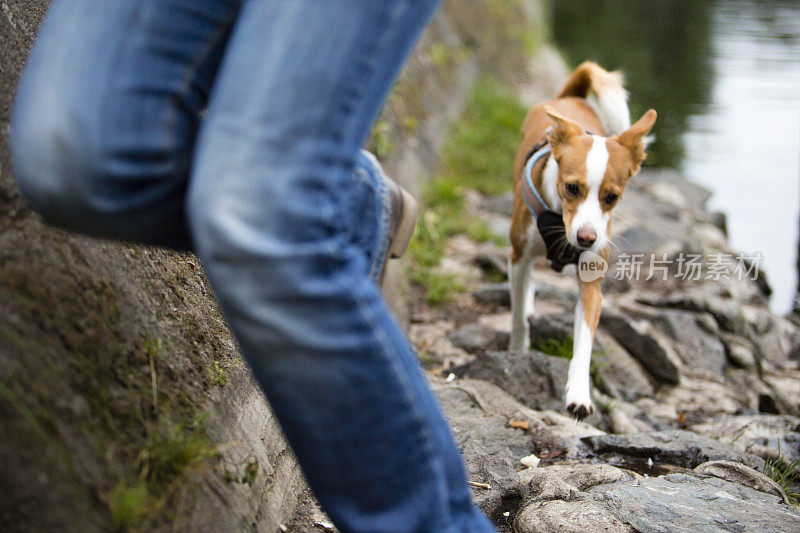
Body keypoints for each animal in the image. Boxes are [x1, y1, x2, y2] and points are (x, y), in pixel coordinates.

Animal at [512, 62, 656, 418]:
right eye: (572, 188)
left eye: (612, 197)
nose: (587, 237)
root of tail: (572, 97)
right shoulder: (517, 255)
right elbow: (517, 316)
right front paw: (517, 350)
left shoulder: (592, 284)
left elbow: (585, 343)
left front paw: (579, 393)